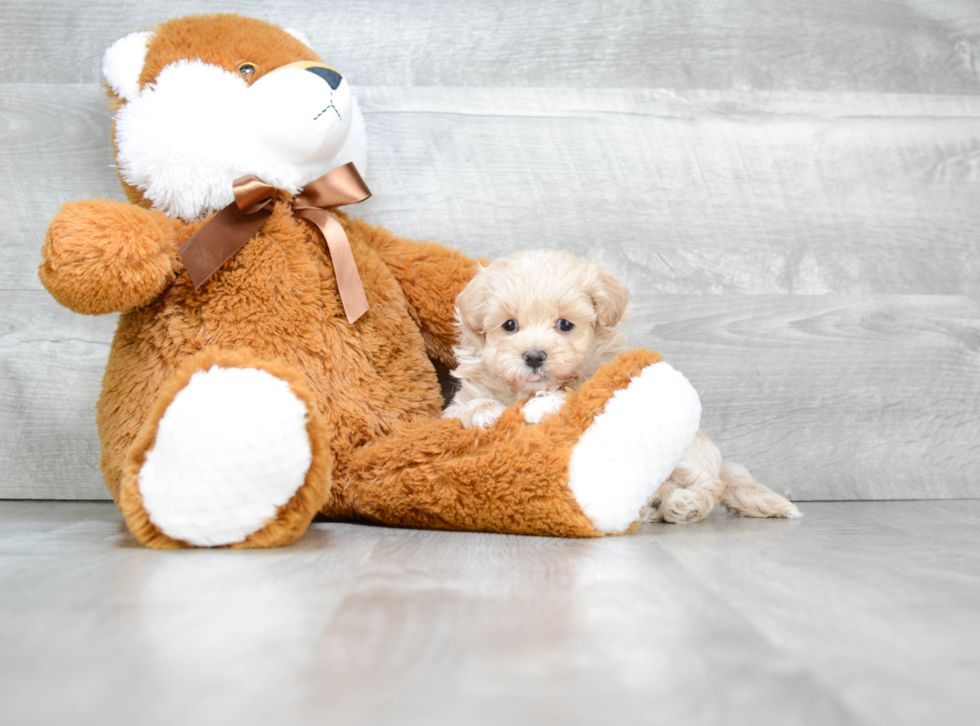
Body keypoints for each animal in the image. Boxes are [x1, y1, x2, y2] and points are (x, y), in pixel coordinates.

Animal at [446, 250, 804, 524]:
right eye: (509, 325)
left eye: (565, 325)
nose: (534, 356)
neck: (525, 389)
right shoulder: (458, 403)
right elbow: (462, 409)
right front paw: (484, 413)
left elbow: (574, 394)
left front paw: (545, 403)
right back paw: (653, 505)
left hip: (683, 451)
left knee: (712, 484)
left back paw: (686, 505)